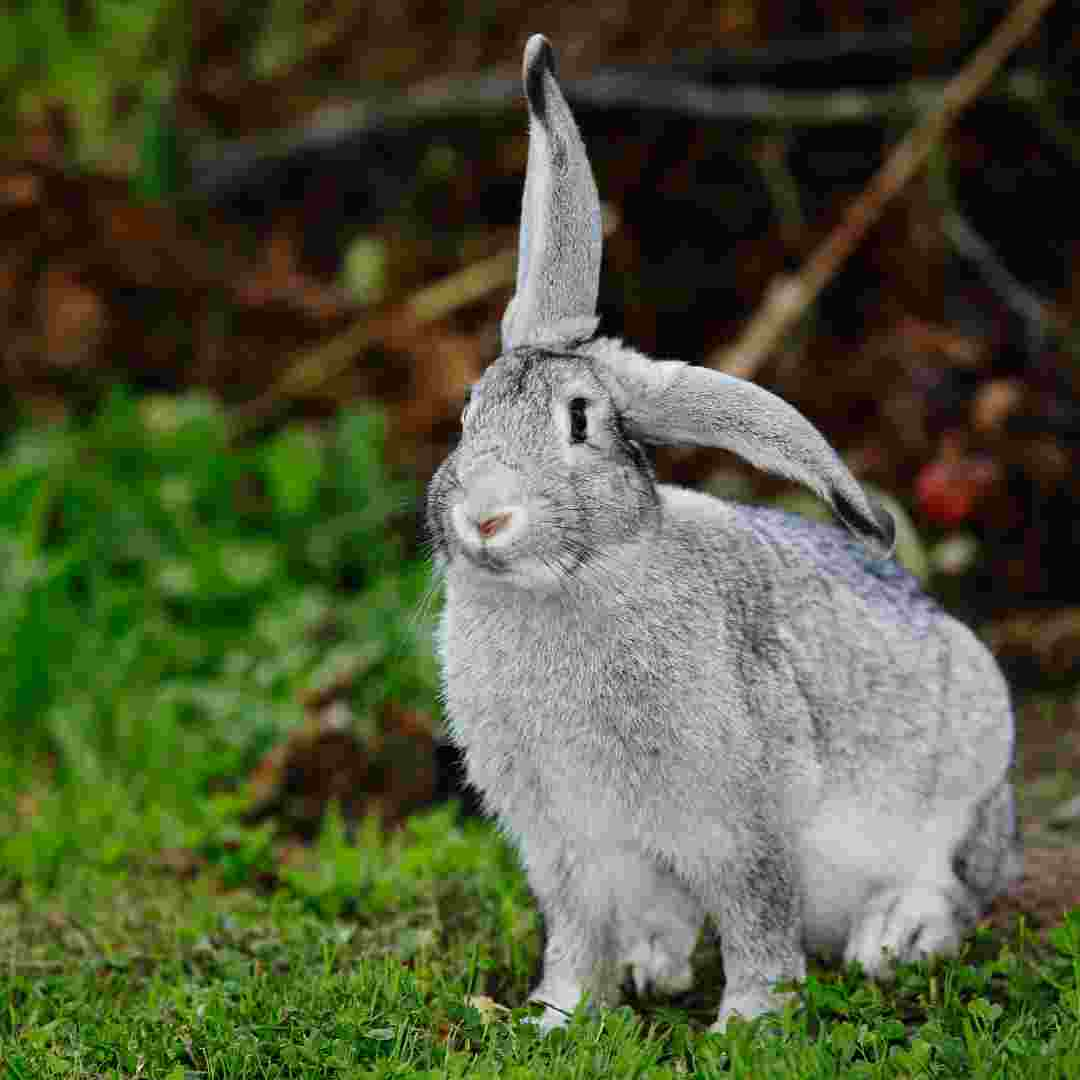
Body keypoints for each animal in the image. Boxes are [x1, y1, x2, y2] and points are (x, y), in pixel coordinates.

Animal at [423, 33, 1019, 1028]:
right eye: (469, 411)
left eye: (580, 422)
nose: (485, 516)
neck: (575, 580)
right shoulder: (571, 847)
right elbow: (577, 933)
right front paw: (559, 1015)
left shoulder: (739, 823)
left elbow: (756, 916)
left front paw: (751, 1021)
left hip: (967, 773)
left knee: (953, 888)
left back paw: (891, 939)